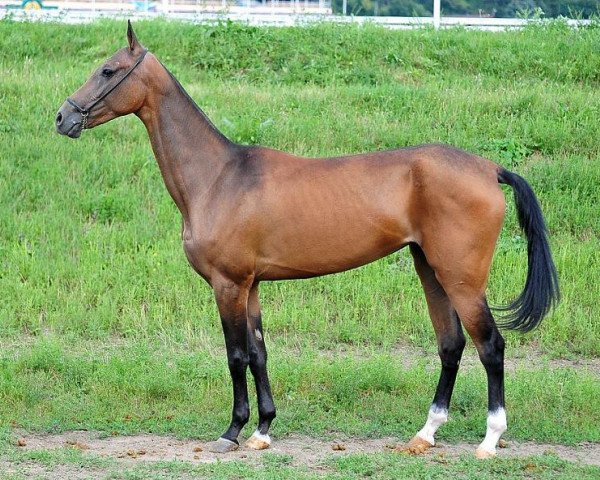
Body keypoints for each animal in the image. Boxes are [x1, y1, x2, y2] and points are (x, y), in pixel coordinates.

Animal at [55, 22, 556, 458]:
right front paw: (262, 430)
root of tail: (489, 169)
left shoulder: (228, 284)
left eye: (108, 70)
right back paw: (425, 434)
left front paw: (232, 431)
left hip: (462, 279)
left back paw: (490, 440)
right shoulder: (252, 286)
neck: (218, 177)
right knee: (450, 346)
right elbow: (259, 353)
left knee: (490, 347)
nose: (62, 117)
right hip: (429, 269)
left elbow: (236, 355)